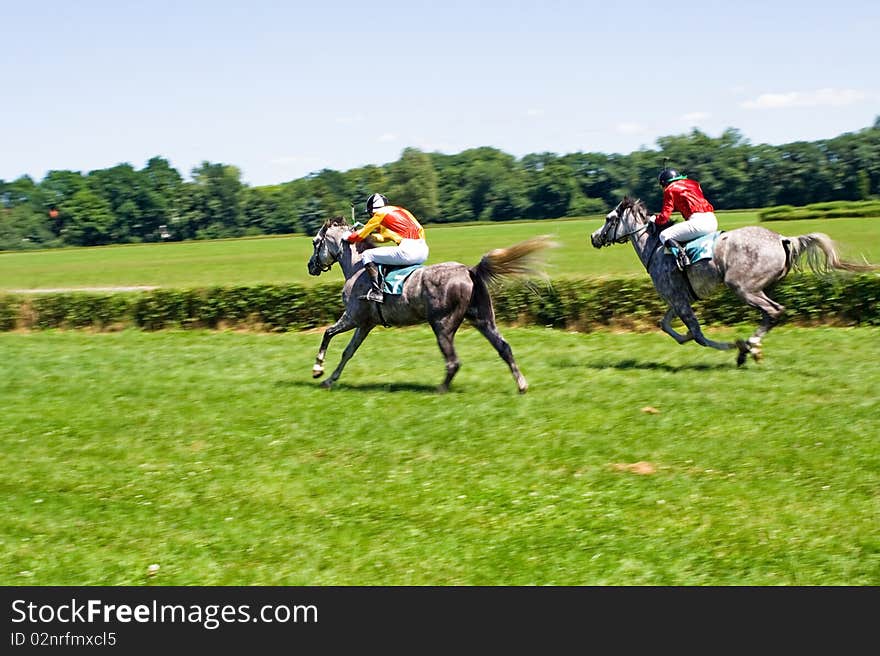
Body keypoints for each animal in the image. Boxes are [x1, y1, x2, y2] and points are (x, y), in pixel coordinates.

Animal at [306, 217, 552, 390]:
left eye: (316, 242)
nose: (310, 266)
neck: (357, 268)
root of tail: (469, 270)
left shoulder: (353, 317)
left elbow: (328, 333)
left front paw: (318, 369)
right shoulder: (366, 324)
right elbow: (348, 352)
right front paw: (329, 380)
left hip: (442, 324)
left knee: (453, 361)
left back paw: (440, 389)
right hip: (482, 319)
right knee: (504, 347)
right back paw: (521, 385)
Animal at [588, 197, 876, 366]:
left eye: (609, 219)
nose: (593, 237)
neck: (656, 248)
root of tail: (782, 239)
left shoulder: (679, 300)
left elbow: (698, 335)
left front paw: (733, 345)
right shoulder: (678, 299)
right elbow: (667, 326)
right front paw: (685, 337)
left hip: (742, 287)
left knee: (773, 311)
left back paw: (748, 347)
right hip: (757, 288)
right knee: (773, 312)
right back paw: (752, 346)